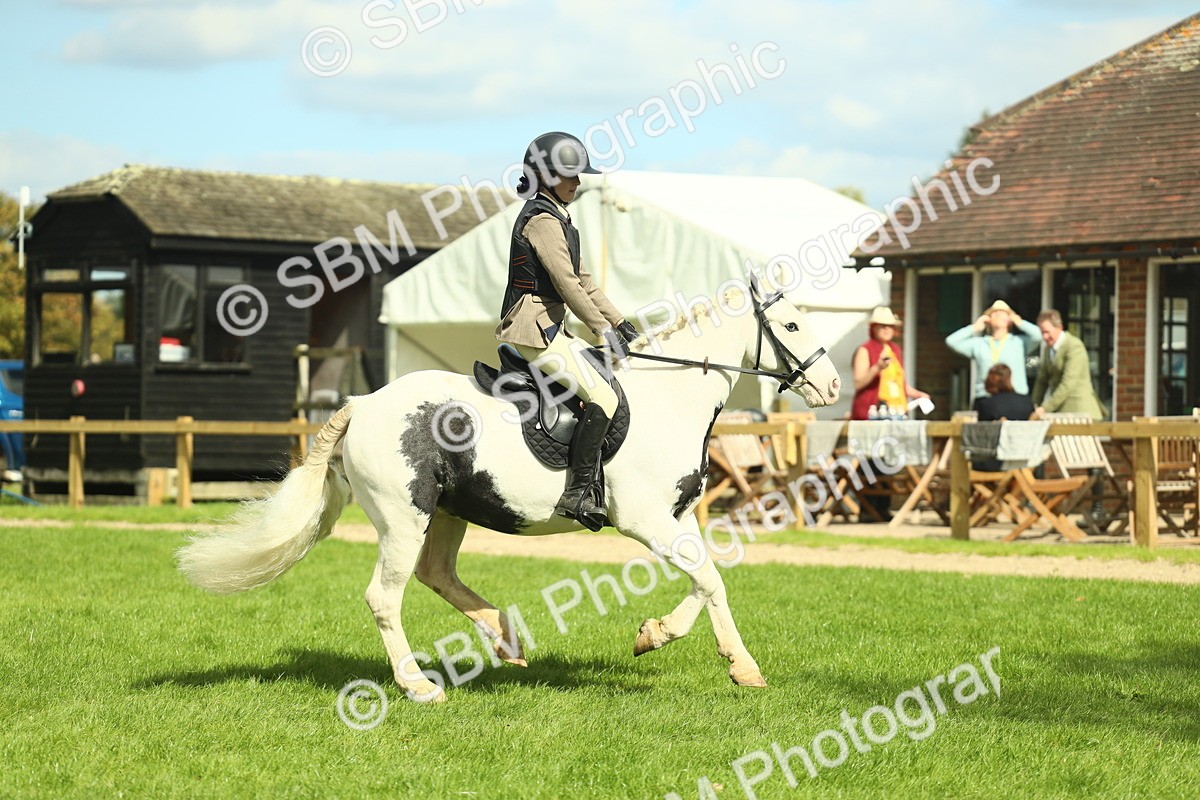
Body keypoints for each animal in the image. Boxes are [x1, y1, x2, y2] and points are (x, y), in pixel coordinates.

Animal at [178, 276, 841, 703]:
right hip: (404, 516)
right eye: (790, 323)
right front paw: (716, 658)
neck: (669, 398)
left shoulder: (678, 518)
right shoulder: (646, 520)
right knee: (385, 596)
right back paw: (418, 685)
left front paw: (681, 645)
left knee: (437, 574)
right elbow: (708, 580)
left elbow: (710, 580)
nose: (833, 386)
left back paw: (505, 635)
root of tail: (364, 402)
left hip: (450, 510)